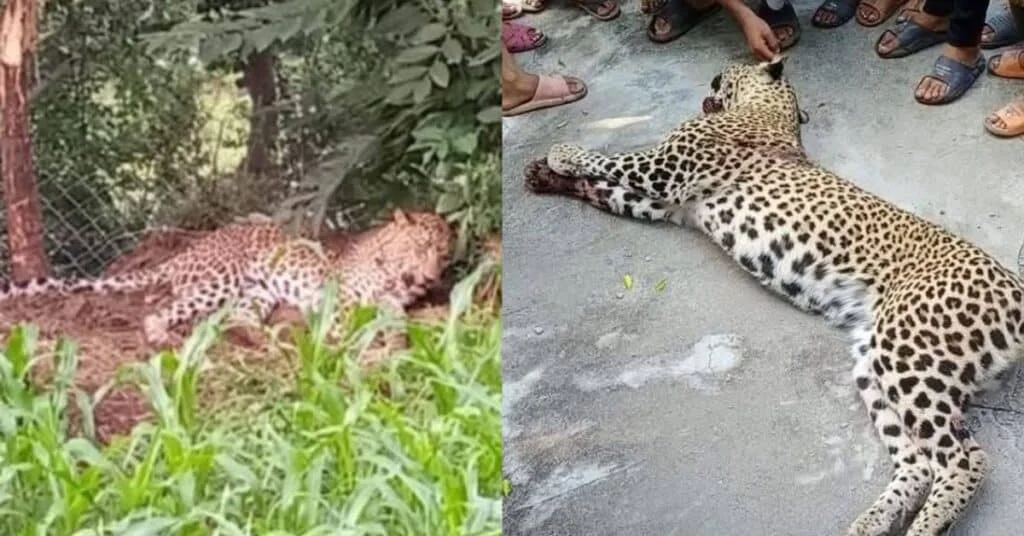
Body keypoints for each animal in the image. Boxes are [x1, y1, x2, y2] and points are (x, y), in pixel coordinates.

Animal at [0, 209, 454, 355]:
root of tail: (188, 251)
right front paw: (354, 342)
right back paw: (163, 337)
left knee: (237, 319)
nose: (432, 276)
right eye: (420, 247)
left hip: (257, 292)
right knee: (158, 311)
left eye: (444, 253)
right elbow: (347, 323)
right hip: (221, 280)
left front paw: (396, 342)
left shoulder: (392, 303)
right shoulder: (338, 296)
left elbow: (395, 320)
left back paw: (268, 340)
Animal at [523, 56, 1024, 536]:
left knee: (965, 461)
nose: (711, 79)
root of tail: (1014, 284)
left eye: (724, 73)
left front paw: (561, 154)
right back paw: (871, 523)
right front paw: (542, 174)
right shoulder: (665, 203)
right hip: (874, 363)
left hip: (909, 356)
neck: (772, 111)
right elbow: (604, 186)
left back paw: (922, 527)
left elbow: (608, 160)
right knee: (920, 463)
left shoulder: (662, 171)